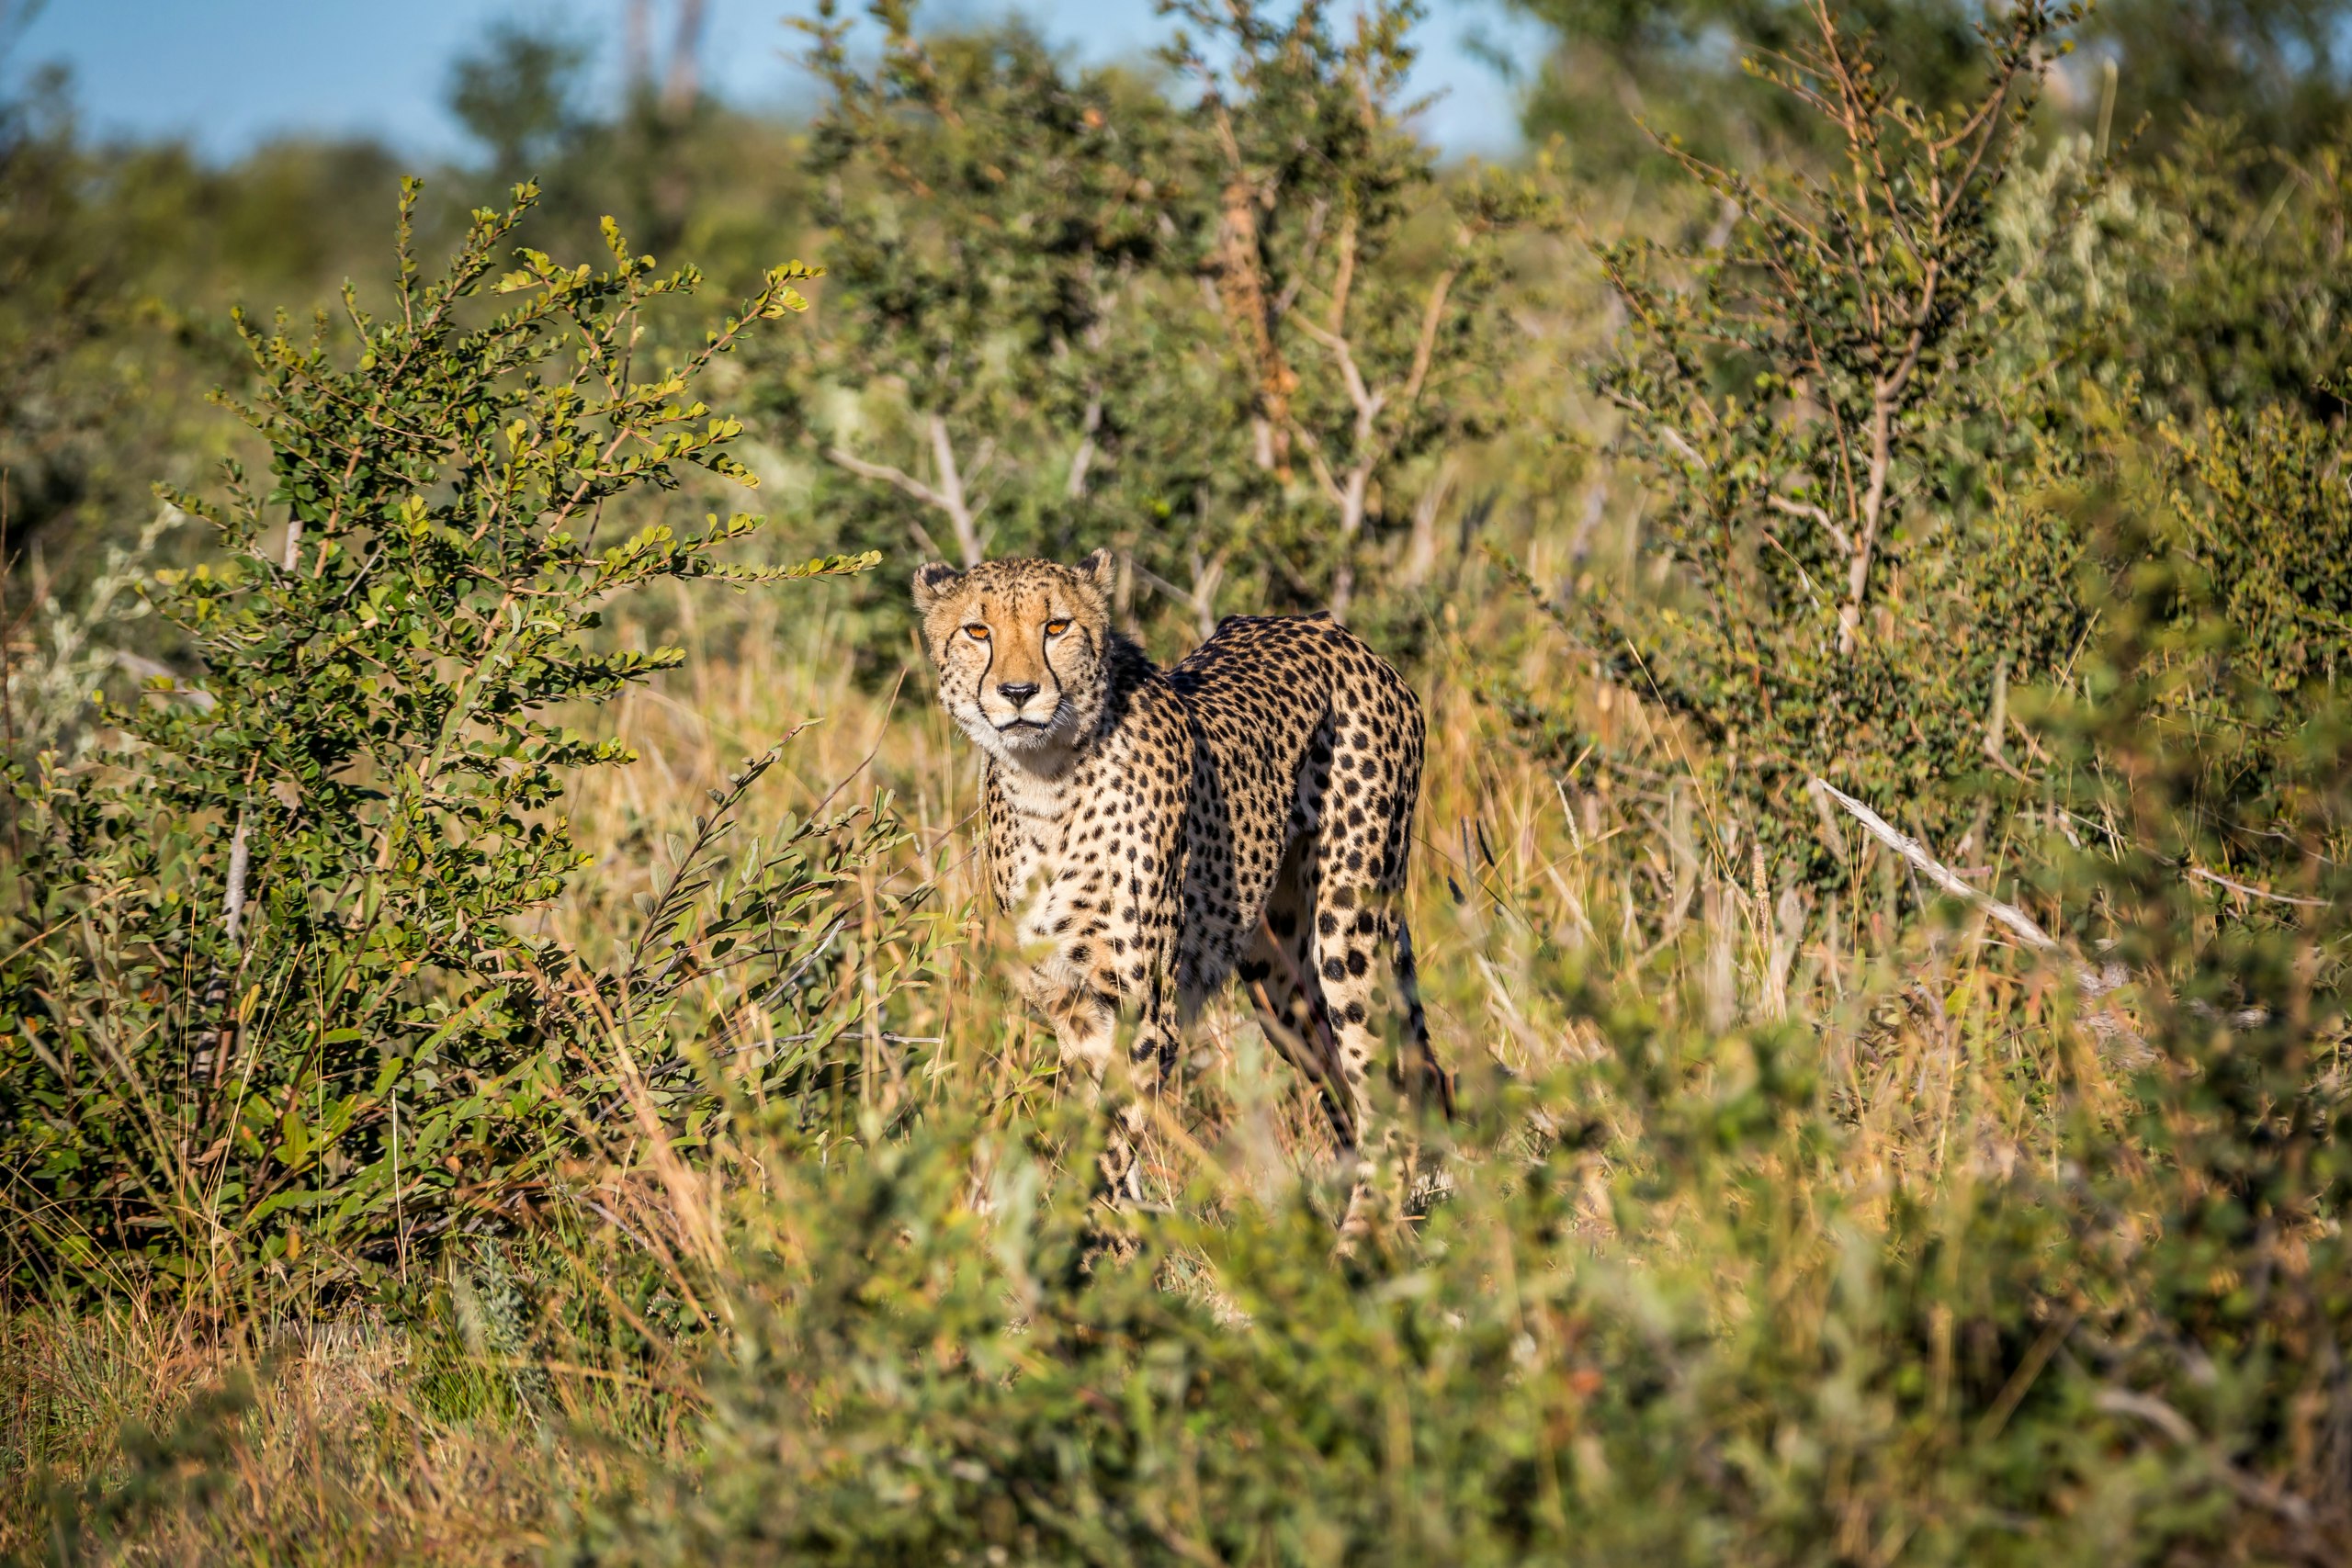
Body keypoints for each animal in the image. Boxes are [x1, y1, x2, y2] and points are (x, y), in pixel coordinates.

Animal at [912, 549, 1448, 1222]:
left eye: (1056, 626)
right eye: (977, 631)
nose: (1017, 693)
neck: (1046, 781)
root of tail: (1327, 626)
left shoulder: (1147, 1006)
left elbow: (1110, 1145)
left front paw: (1092, 1232)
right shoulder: (1071, 1005)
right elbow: (1099, 1134)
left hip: (1350, 930)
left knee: (1390, 1097)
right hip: (1280, 980)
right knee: (1360, 1093)